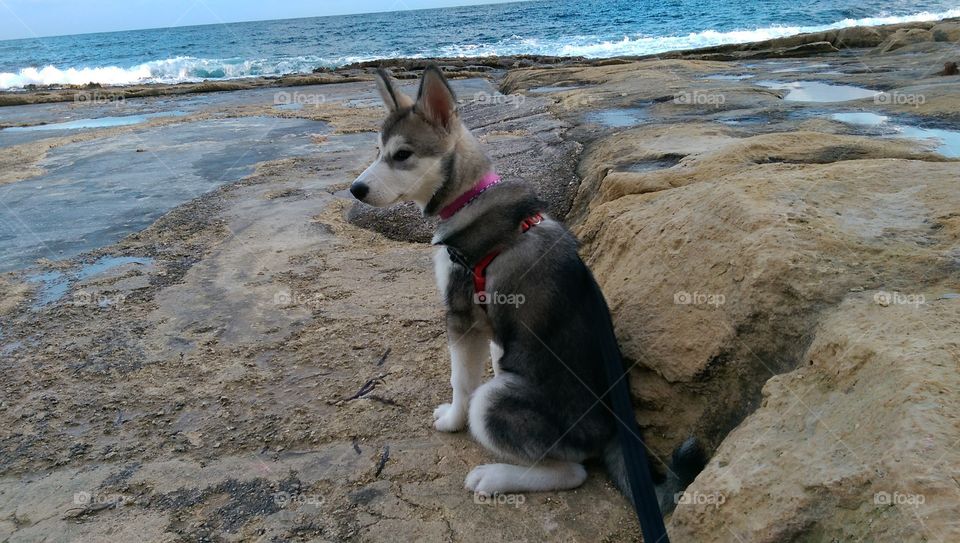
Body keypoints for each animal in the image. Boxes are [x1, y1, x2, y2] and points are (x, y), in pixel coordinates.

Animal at [352, 69, 688, 506]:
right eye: (378, 151)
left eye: (403, 154)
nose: (355, 190)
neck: (468, 198)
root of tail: (615, 429)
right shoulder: (489, 325)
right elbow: (488, 360)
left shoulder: (461, 317)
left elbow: (462, 382)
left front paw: (453, 420)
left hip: (495, 401)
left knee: (572, 471)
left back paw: (494, 477)